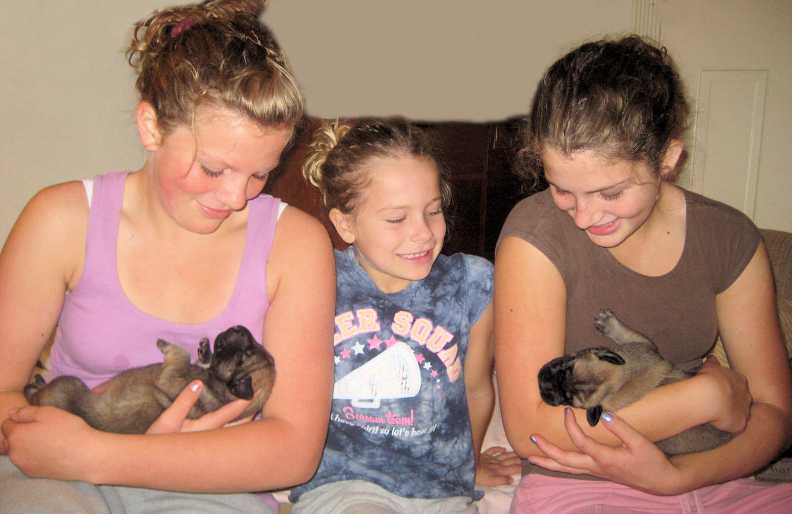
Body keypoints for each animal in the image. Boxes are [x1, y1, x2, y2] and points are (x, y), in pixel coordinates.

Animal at [24, 324, 276, 432]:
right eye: (255, 344)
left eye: (245, 355)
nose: (238, 328)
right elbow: (198, 359)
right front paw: (204, 351)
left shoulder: (173, 379)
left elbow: (181, 356)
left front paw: (166, 345)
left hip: (68, 384)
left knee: (35, 396)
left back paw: (34, 387)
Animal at [540, 310, 732, 454]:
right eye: (567, 366)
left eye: (569, 400)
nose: (543, 385)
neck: (621, 379)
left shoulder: (644, 345)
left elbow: (626, 334)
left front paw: (609, 324)